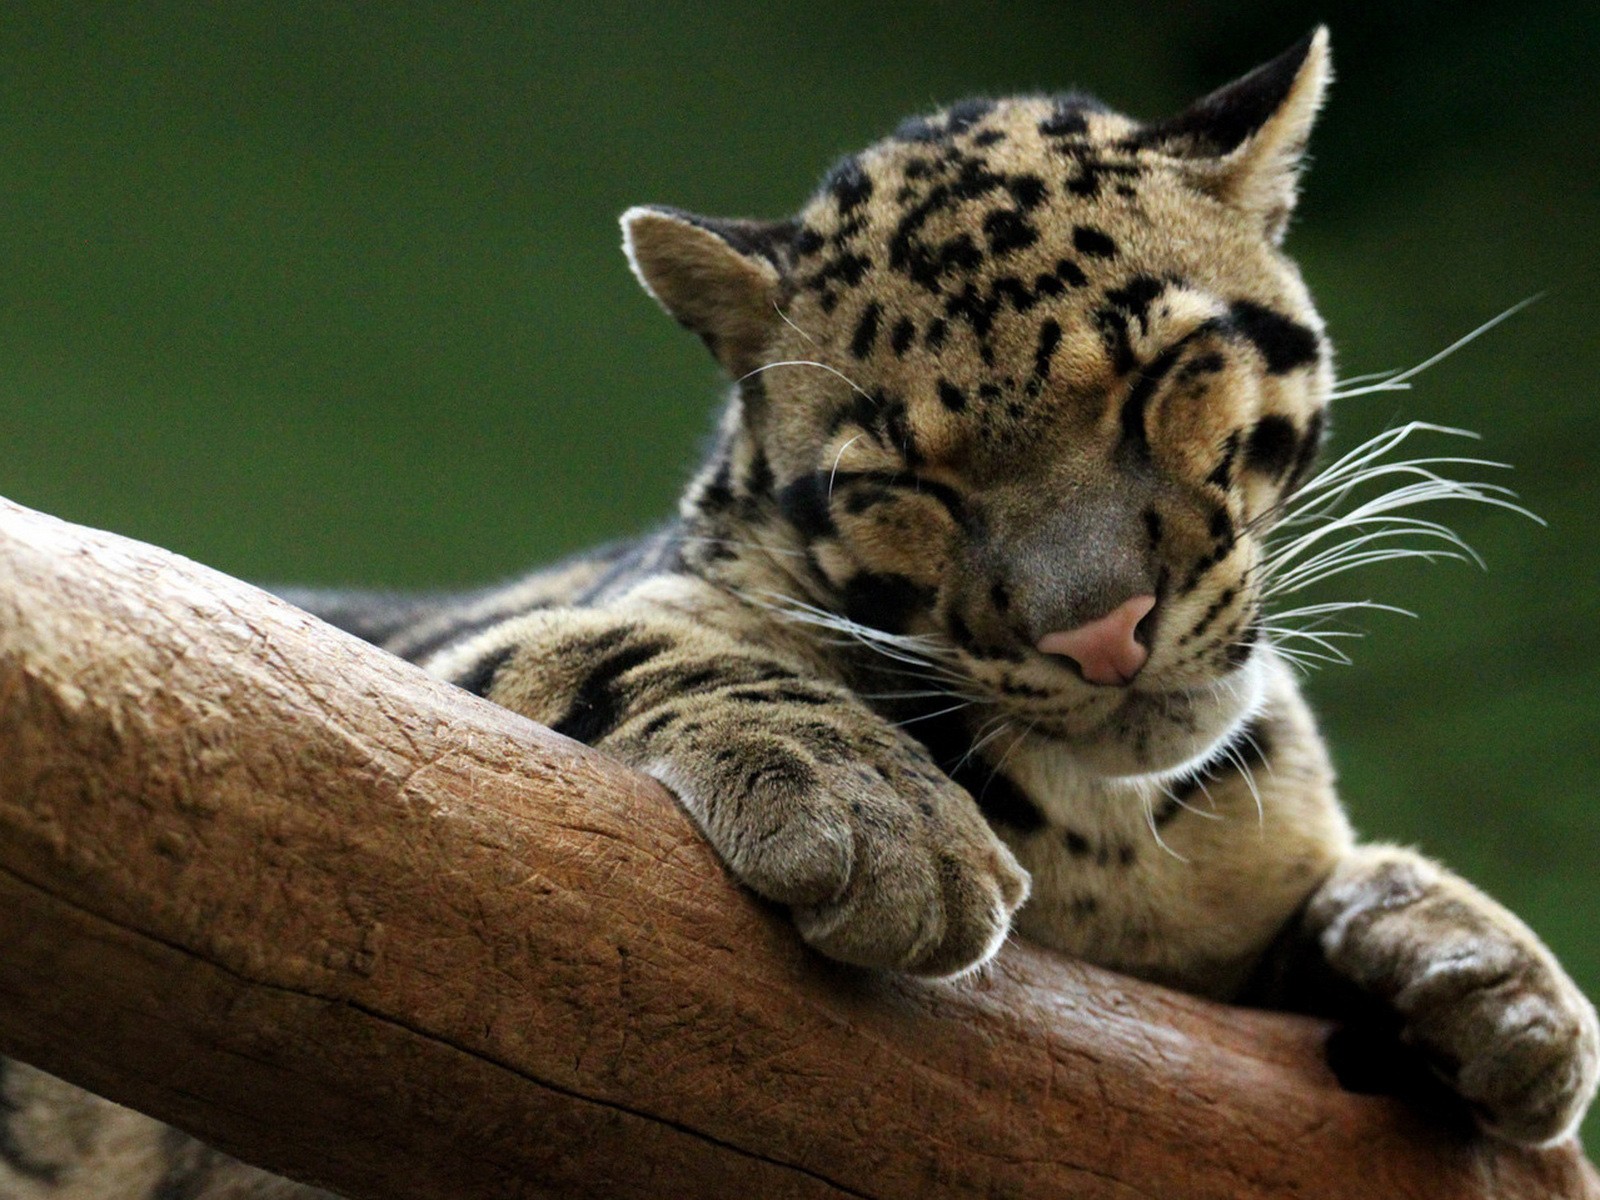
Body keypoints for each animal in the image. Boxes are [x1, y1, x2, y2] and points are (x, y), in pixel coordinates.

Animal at [6, 21, 1593, 1200]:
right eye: (903, 480)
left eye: (1161, 376)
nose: (1097, 632)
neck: (1110, 836)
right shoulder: (394, 683)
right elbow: (636, 643)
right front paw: (880, 817)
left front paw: (1495, 981)